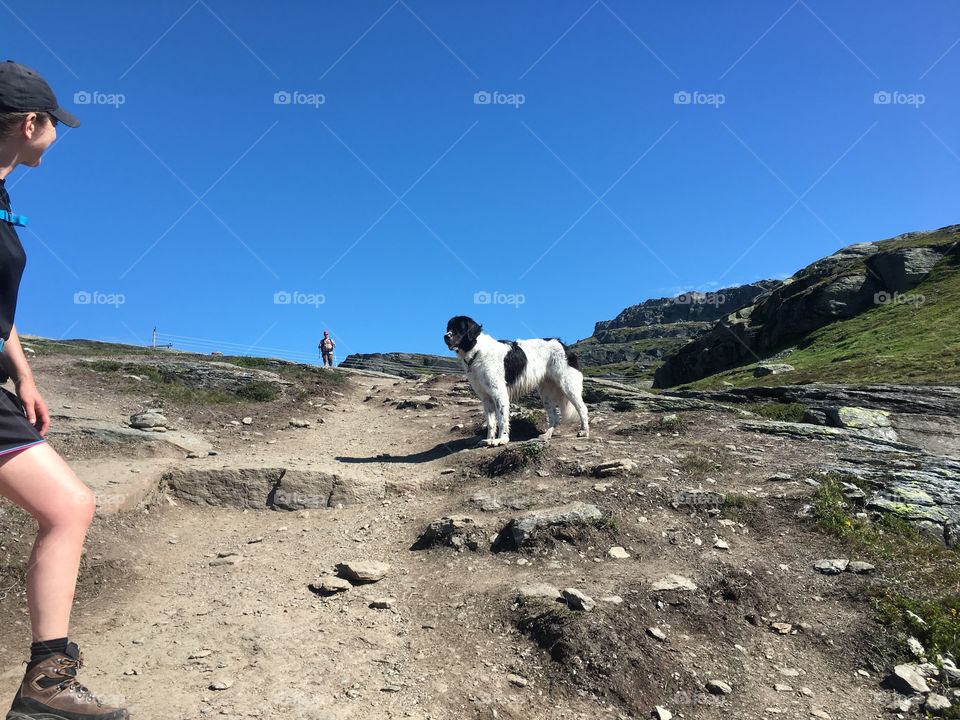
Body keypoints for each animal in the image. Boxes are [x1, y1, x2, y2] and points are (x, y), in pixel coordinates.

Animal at [446, 316, 588, 444]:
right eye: (448, 328)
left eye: (459, 328)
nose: (445, 336)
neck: (477, 351)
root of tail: (562, 344)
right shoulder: (485, 397)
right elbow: (491, 422)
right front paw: (489, 439)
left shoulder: (499, 393)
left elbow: (502, 419)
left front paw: (501, 440)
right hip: (546, 393)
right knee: (555, 417)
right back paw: (546, 436)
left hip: (568, 386)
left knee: (582, 408)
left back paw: (584, 431)